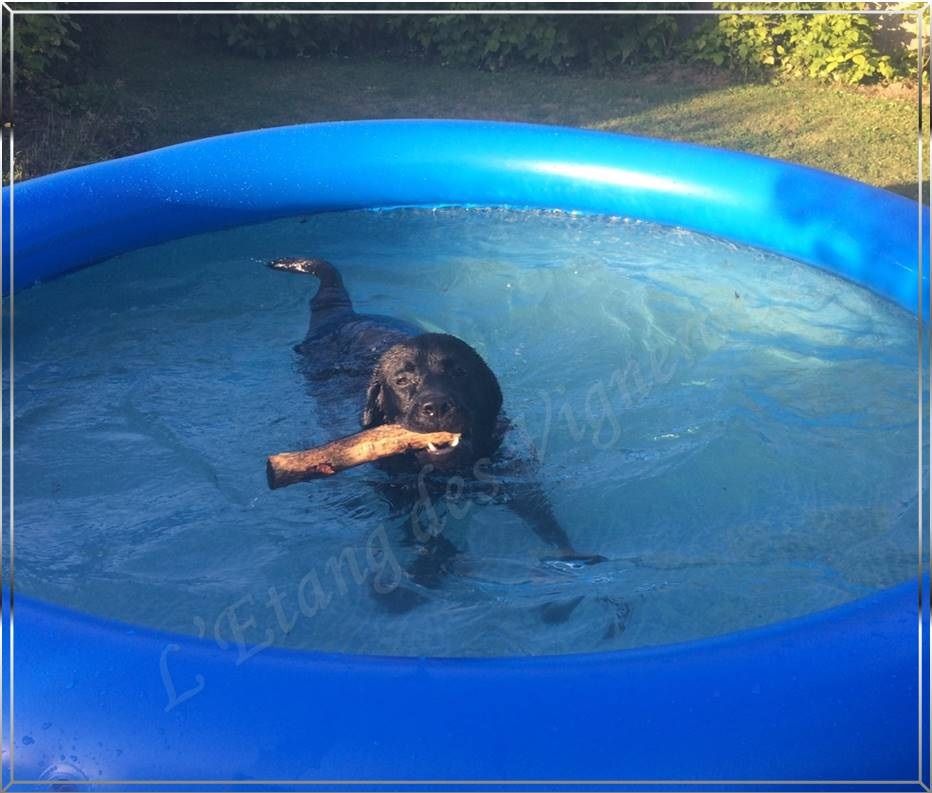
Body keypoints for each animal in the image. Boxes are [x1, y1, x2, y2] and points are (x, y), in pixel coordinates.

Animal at [270, 256, 604, 608]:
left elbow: (547, 521)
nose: (437, 407)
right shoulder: (401, 497)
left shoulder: (514, 477)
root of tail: (344, 316)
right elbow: (428, 538)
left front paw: (571, 560)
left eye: (459, 371)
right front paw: (429, 569)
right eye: (402, 380)